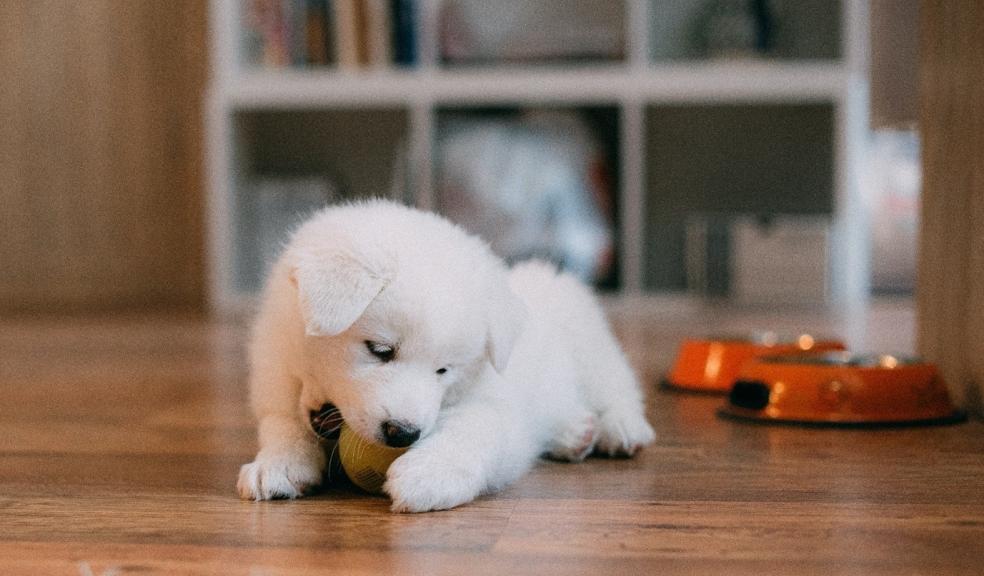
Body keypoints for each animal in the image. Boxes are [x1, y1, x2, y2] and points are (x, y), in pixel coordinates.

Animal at [237, 200, 652, 510]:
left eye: (443, 370)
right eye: (380, 350)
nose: (403, 433)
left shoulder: (496, 407)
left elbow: (475, 430)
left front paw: (429, 475)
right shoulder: (275, 383)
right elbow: (282, 426)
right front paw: (276, 464)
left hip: (588, 344)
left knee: (618, 387)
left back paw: (619, 428)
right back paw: (574, 433)